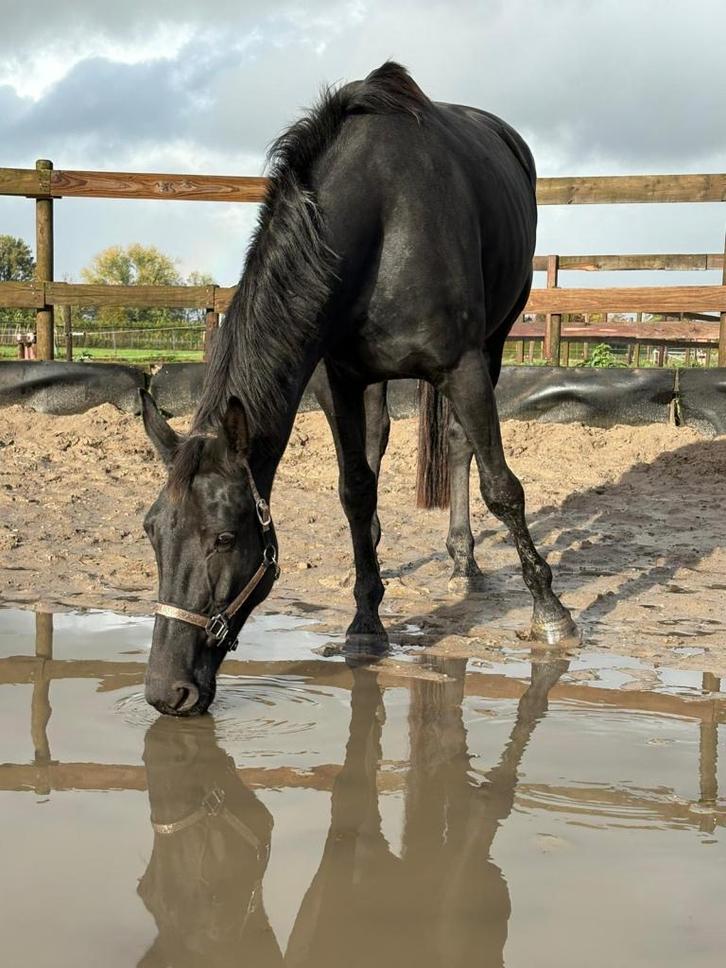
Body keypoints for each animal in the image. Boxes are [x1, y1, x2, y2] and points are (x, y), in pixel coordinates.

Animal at [140, 61, 576, 715]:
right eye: (151, 532)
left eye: (224, 536)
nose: (167, 691)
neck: (382, 215)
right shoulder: (337, 381)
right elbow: (354, 491)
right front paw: (366, 619)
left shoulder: (464, 365)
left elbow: (503, 488)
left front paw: (551, 613)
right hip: (373, 383)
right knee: (377, 451)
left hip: (494, 344)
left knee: (461, 445)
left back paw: (465, 561)